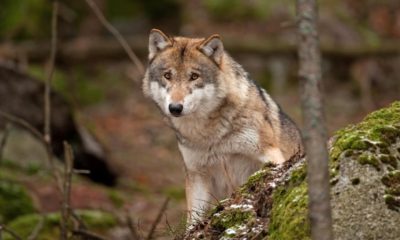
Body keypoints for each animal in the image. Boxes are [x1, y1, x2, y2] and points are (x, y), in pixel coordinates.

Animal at [142, 29, 302, 222]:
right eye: (167, 75)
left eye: (194, 76)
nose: (175, 108)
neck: (210, 133)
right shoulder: (197, 174)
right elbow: (193, 220)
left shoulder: (270, 156)